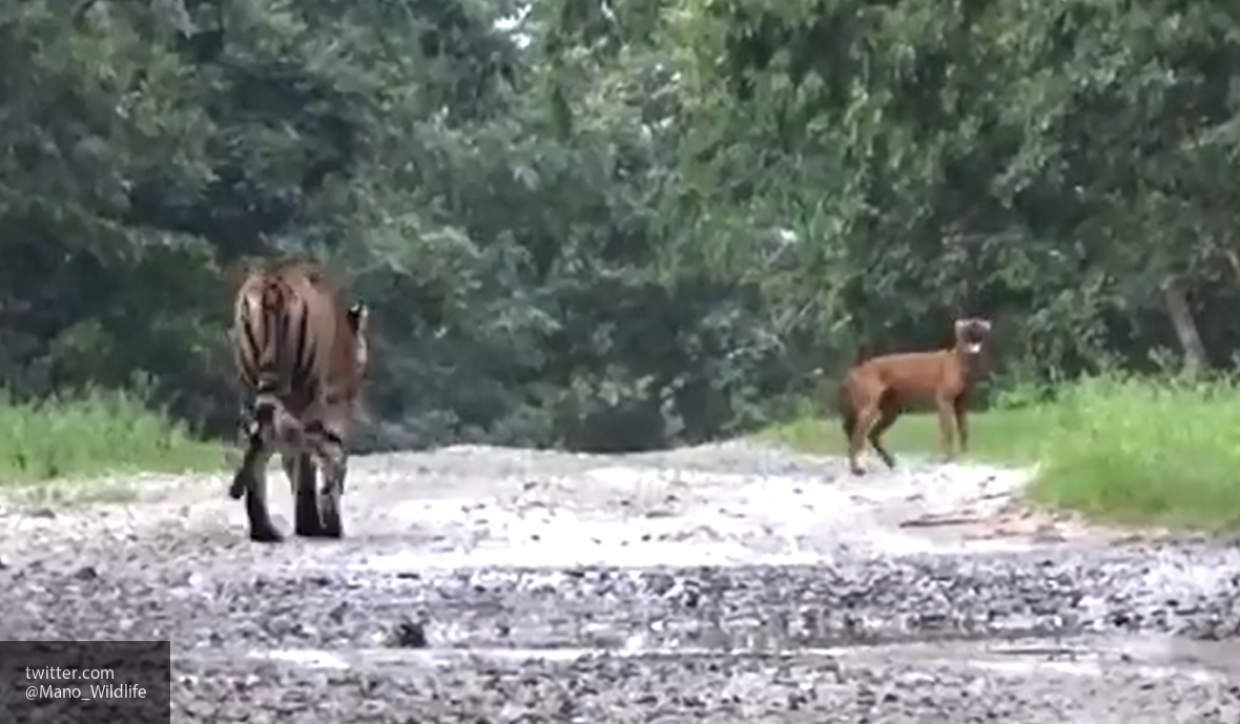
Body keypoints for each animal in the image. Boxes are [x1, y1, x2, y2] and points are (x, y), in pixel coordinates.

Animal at [228, 257, 369, 540]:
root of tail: (272, 287)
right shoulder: (332, 402)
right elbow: (324, 456)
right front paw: (318, 521)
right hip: (306, 392)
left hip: (250, 389)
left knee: (257, 442)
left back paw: (263, 529)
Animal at [838, 317, 992, 476]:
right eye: (967, 324)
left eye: (979, 323)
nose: (974, 324)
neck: (962, 363)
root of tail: (851, 372)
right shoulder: (944, 400)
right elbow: (948, 431)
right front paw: (947, 459)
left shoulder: (961, 403)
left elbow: (964, 430)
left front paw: (965, 457)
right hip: (869, 408)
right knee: (856, 437)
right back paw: (858, 469)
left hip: (891, 411)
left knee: (869, 434)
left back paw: (890, 462)